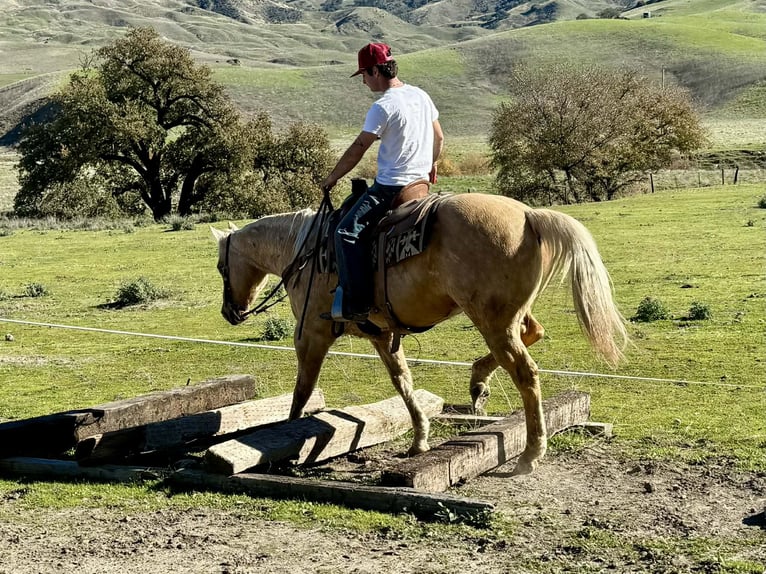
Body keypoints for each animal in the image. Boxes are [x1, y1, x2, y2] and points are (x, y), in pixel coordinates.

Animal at [211, 192, 628, 475]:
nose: (229, 312)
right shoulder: (382, 336)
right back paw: (478, 383)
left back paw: (529, 454)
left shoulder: (311, 334)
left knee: (526, 373)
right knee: (533, 334)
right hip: (509, 318)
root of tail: (528, 214)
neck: (306, 251)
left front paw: (286, 442)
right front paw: (419, 440)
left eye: (220, 267)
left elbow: (302, 391)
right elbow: (403, 382)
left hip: (493, 322)